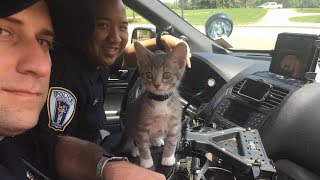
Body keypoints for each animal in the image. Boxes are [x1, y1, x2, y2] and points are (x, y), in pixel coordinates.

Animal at [122, 41, 188, 169]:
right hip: (130, 125)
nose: (156, 85)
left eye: (167, 75)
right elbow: (142, 144)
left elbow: (172, 141)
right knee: (134, 141)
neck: (160, 101)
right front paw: (146, 161)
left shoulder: (175, 123)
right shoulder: (141, 125)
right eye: (148, 75)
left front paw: (168, 158)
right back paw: (136, 149)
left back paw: (156, 140)